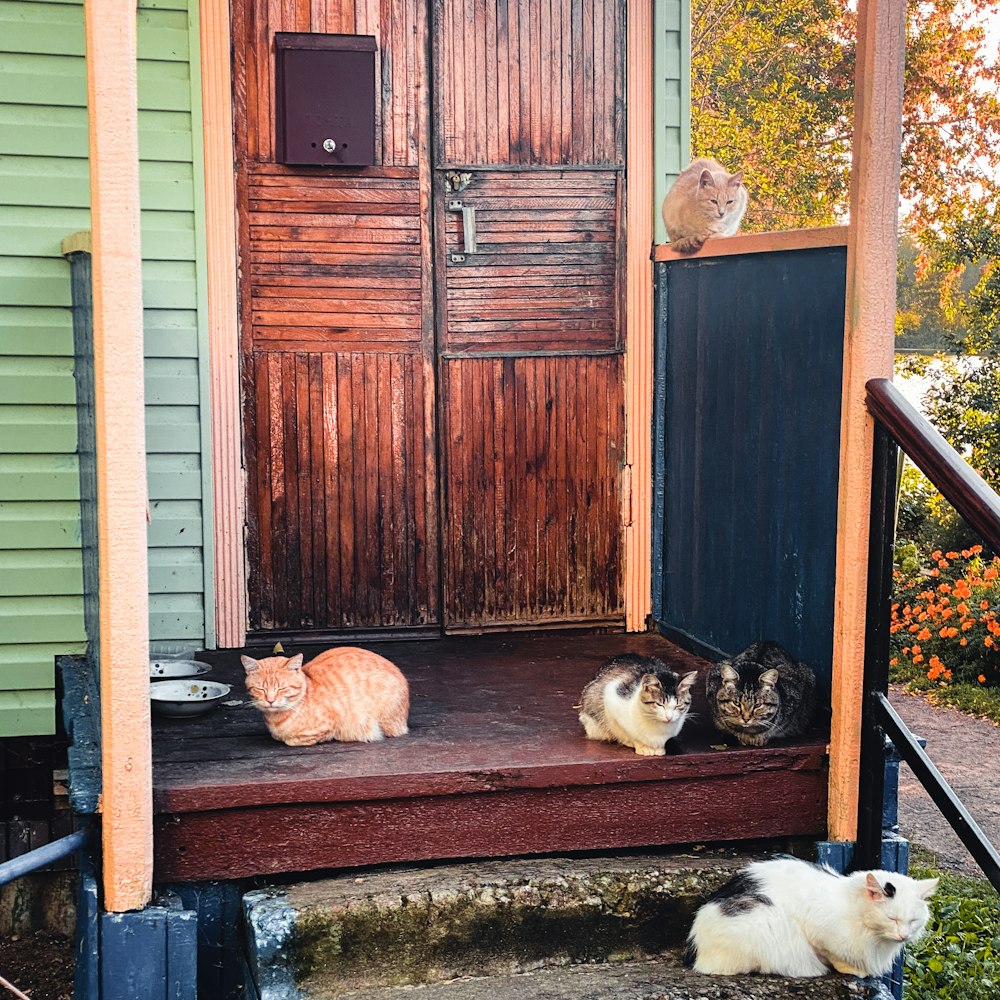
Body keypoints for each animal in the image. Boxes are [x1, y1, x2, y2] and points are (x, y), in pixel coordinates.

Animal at [688, 860, 936, 976]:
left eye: (913, 921)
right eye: (892, 918)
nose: (903, 936)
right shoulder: (819, 934)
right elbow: (833, 956)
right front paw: (852, 969)